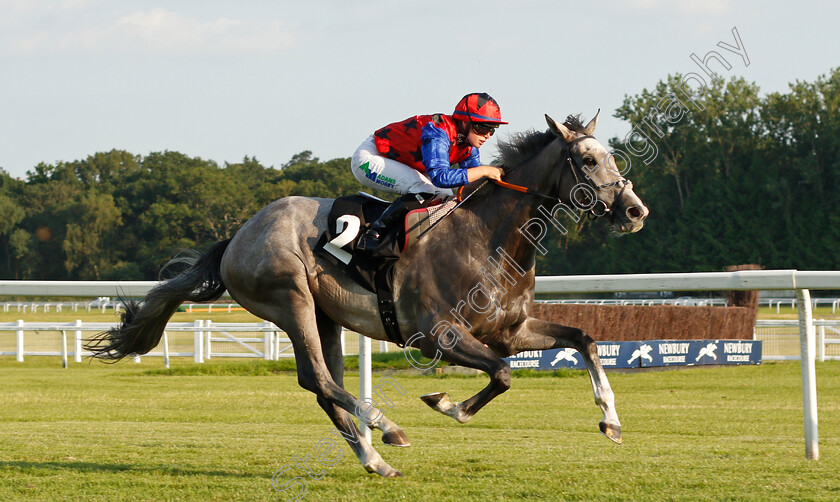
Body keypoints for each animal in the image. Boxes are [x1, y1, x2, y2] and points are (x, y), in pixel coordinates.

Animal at [87, 112, 648, 476]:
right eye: (587, 159)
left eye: (610, 155)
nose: (634, 210)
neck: (487, 237)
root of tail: (237, 236)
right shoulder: (438, 334)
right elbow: (504, 374)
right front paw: (447, 404)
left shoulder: (509, 330)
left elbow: (583, 339)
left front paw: (612, 421)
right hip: (290, 300)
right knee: (317, 378)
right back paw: (386, 428)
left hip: (325, 316)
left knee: (324, 385)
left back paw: (374, 459)